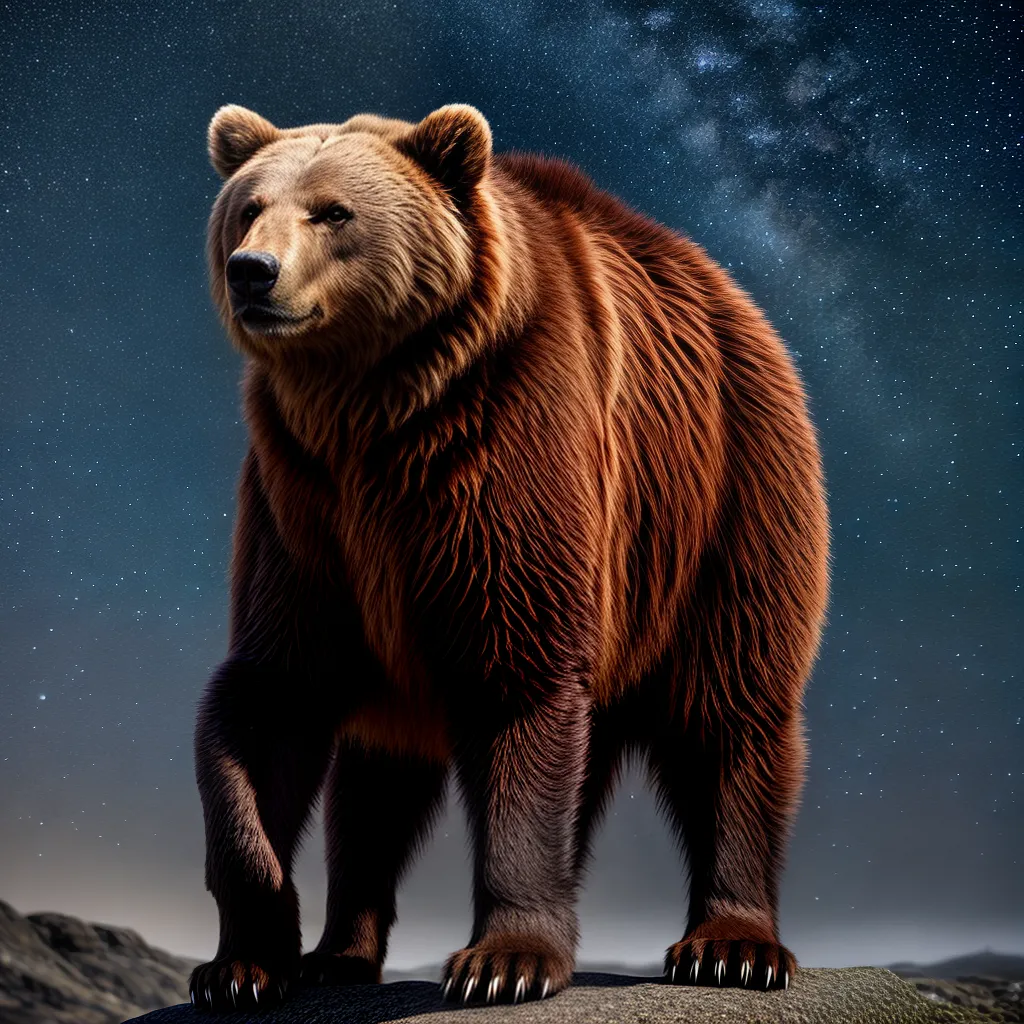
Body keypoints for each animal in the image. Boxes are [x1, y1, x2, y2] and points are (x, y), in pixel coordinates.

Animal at [188, 102, 829, 1012]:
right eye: (248, 207)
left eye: (333, 212)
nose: (253, 271)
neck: (375, 409)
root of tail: (729, 293)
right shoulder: (304, 507)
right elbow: (269, 701)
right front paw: (243, 963)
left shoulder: (507, 443)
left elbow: (520, 671)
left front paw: (504, 960)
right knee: (377, 778)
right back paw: (340, 953)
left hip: (724, 499)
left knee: (729, 710)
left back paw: (731, 945)